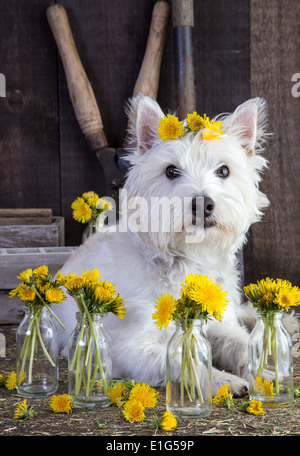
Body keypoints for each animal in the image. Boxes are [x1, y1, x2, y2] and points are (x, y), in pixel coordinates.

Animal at [55, 93, 288, 396]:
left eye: (224, 170)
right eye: (171, 171)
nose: (203, 203)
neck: (189, 259)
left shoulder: (219, 325)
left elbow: (240, 344)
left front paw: (262, 374)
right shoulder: (128, 348)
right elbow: (186, 361)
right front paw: (225, 381)